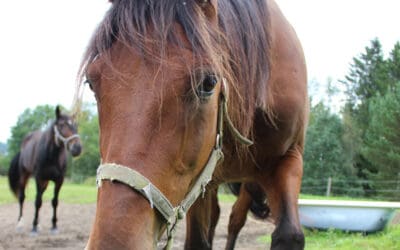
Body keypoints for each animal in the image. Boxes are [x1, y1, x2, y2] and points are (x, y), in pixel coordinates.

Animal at [8, 106, 82, 234]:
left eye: (75, 125)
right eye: (61, 125)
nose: (77, 148)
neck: (51, 156)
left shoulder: (59, 180)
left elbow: (54, 202)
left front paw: (54, 226)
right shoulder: (39, 178)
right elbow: (37, 202)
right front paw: (33, 227)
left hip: (46, 182)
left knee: (40, 197)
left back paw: (39, 224)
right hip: (25, 176)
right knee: (22, 198)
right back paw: (20, 223)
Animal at [78, 0, 308, 248]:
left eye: (208, 83)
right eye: (91, 83)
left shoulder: (289, 158)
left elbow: (289, 234)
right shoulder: (202, 181)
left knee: (235, 220)